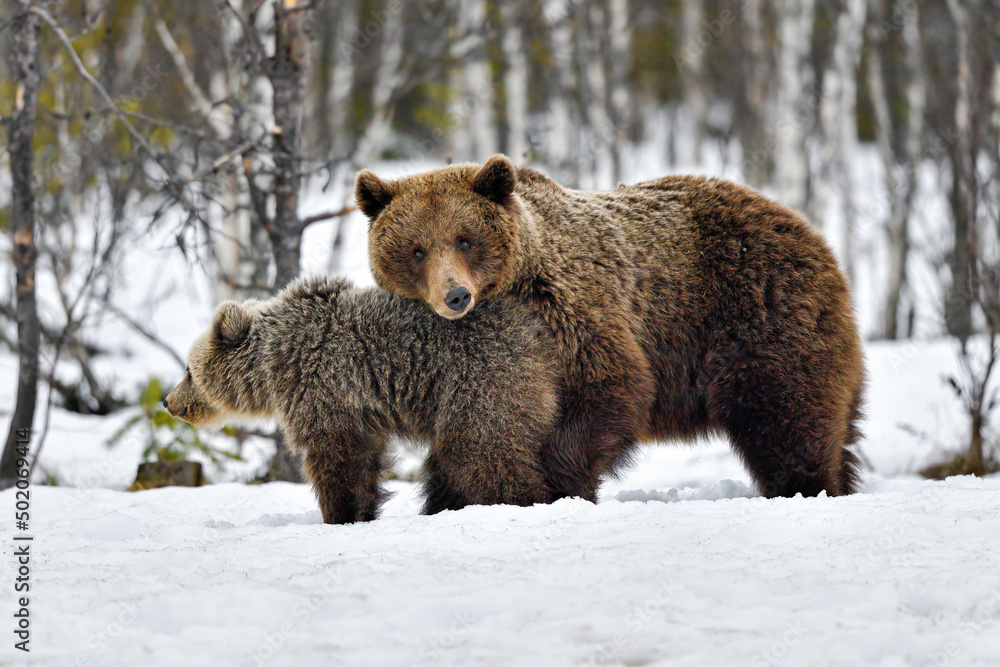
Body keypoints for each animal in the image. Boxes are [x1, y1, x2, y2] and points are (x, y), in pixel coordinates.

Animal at [163, 276, 562, 524]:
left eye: (187, 370)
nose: (168, 402)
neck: (273, 363)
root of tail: (533, 330)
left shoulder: (323, 388)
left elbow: (337, 459)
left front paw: (338, 515)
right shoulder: (358, 408)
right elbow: (363, 460)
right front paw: (362, 511)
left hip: (477, 382)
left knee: (483, 450)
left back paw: (520, 500)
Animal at [356, 155, 866, 501]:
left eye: (465, 239)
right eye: (417, 249)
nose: (456, 295)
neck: (518, 285)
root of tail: (810, 233)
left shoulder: (576, 313)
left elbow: (611, 389)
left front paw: (558, 484)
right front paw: (448, 499)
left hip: (759, 318)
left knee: (786, 419)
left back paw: (807, 486)